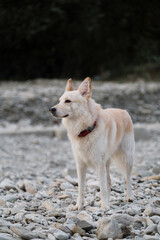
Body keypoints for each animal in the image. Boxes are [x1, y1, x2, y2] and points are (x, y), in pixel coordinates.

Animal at [50, 77, 135, 210]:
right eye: (59, 101)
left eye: (68, 101)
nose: (51, 109)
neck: (86, 129)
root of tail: (124, 111)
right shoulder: (80, 165)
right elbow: (81, 188)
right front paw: (78, 206)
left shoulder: (99, 164)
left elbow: (102, 188)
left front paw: (105, 206)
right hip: (107, 163)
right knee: (109, 181)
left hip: (127, 158)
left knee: (128, 178)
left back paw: (128, 197)